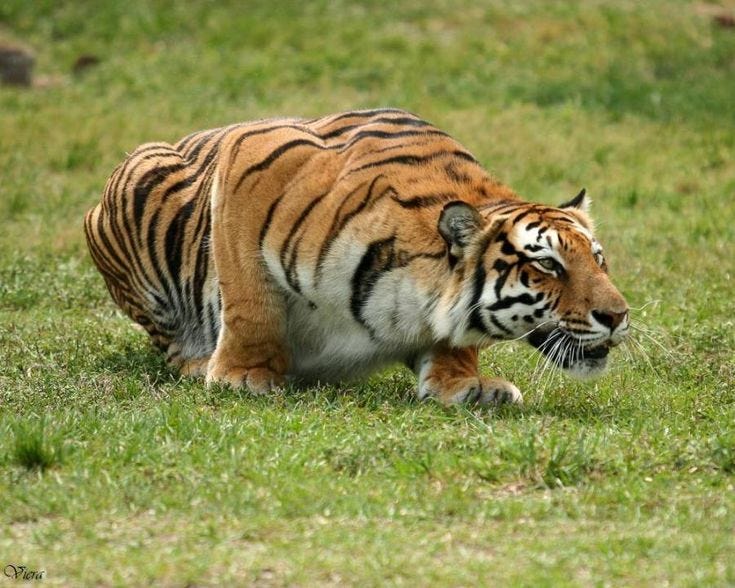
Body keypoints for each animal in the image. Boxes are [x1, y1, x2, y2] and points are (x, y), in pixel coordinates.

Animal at [84, 108, 629, 406]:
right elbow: (248, 296)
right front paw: (244, 376)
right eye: (548, 265)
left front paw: (466, 384)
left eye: (598, 261)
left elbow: (453, 342)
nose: (618, 316)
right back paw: (201, 362)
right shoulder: (253, 155)